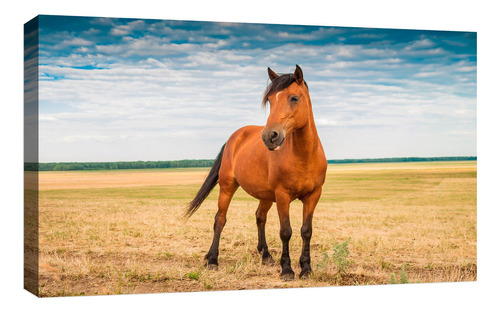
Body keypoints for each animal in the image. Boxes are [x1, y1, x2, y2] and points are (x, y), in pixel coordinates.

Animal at [185, 64, 328, 280]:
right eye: (270, 100)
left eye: (294, 98)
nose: (270, 136)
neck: (304, 155)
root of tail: (235, 136)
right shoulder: (283, 196)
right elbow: (286, 231)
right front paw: (287, 270)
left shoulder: (313, 196)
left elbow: (306, 231)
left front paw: (306, 269)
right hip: (227, 187)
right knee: (220, 219)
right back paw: (212, 260)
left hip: (266, 195)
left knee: (260, 217)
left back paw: (266, 256)